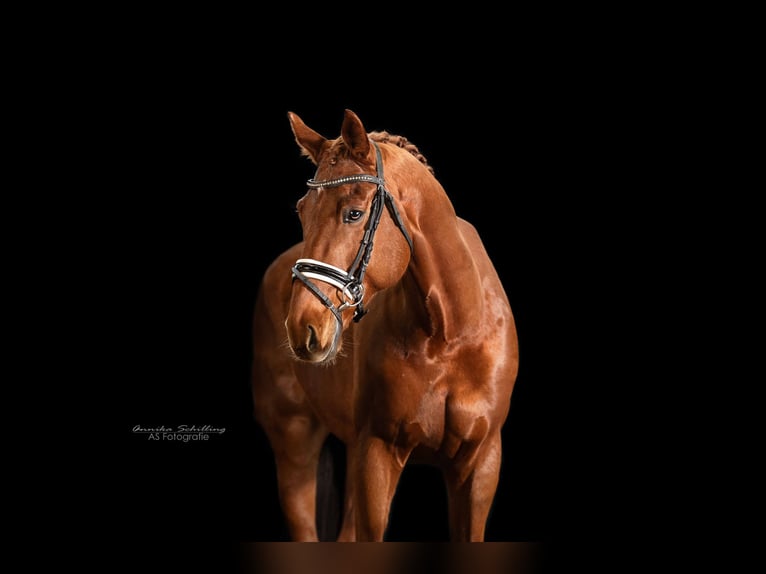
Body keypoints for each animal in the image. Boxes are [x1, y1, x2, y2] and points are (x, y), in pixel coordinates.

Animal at [254, 109, 520, 544]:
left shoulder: (480, 463)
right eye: (301, 210)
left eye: (354, 213)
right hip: (295, 445)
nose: (303, 327)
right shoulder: (377, 454)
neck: (450, 333)